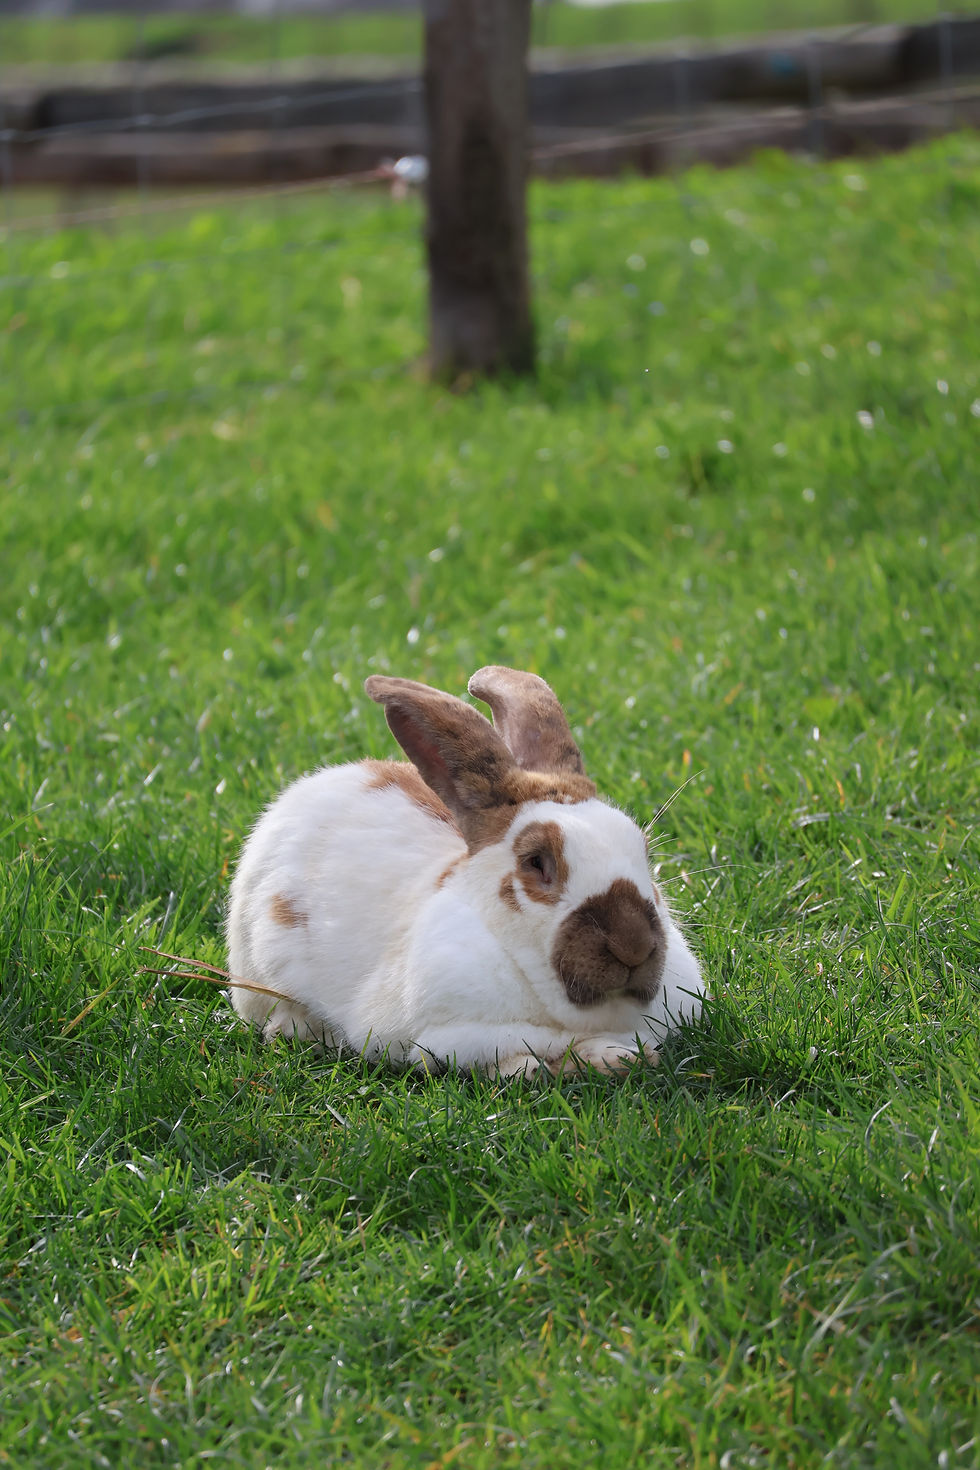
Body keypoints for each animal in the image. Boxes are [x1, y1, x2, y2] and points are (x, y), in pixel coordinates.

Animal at [225, 666, 705, 1076]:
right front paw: (536, 1068)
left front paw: (620, 1059)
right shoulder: (449, 1033)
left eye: (643, 851)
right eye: (536, 862)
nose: (634, 946)